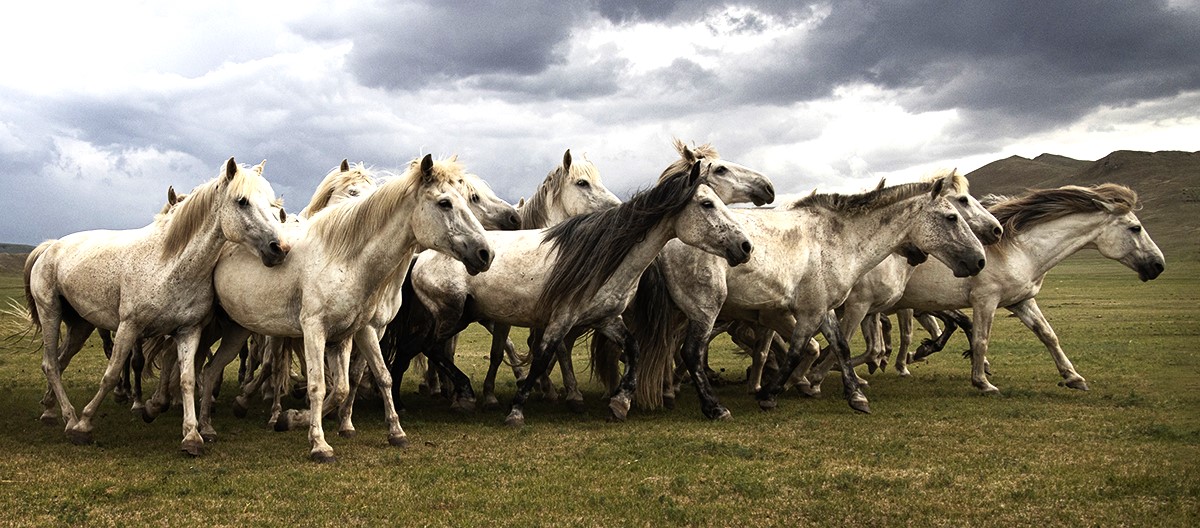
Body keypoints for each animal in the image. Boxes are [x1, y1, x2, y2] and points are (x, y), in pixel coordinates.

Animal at [24, 158, 288, 455]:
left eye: (272, 204)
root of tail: (49, 247)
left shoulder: (188, 331)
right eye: (242, 201)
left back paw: (50, 409)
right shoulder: (130, 327)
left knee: (60, 361)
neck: (171, 263)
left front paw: (192, 436)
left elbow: (187, 378)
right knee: (50, 364)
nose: (279, 248)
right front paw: (85, 424)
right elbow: (111, 374)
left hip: (80, 326)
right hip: (50, 312)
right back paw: (70, 418)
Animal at [196, 154, 492, 462]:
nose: (485, 253)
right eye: (445, 202)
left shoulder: (351, 334)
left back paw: (210, 424)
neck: (343, 260)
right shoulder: (314, 330)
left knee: (212, 369)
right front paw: (318, 443)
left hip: (239, 330)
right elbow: (317, 385)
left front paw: (391, 432)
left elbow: (357, 382)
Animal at [410, 160, 752, 427]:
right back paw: (464, 394)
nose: (745, 246)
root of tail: (422, 256)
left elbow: (634, 349)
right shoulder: (562, 318)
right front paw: (517, 411)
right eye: (707, 204)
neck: (603, 259)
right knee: (431, 347)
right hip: (453, 313)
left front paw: (621, 403)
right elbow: (542, 357)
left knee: (434, 349)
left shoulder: (606, 318)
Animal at [636, 175, 987, 419]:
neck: (840, 240)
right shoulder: (810, 311)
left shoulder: (825, 308)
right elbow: (797, 351)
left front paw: (855, 396)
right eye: (952, 216)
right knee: (691, 352)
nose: (980, 260)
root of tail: (670, 239)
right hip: (706, 309)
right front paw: (770, 394)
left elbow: (840, 346)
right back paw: (713, 407)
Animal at [888, 183, 1165, 393]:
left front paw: (1073, 377)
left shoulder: (1021, 301)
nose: (1159, 265)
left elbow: (1048, 334)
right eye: (1135, 228)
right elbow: (980, 339)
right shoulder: (985, 300)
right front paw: (982, 382)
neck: (1019, 251)